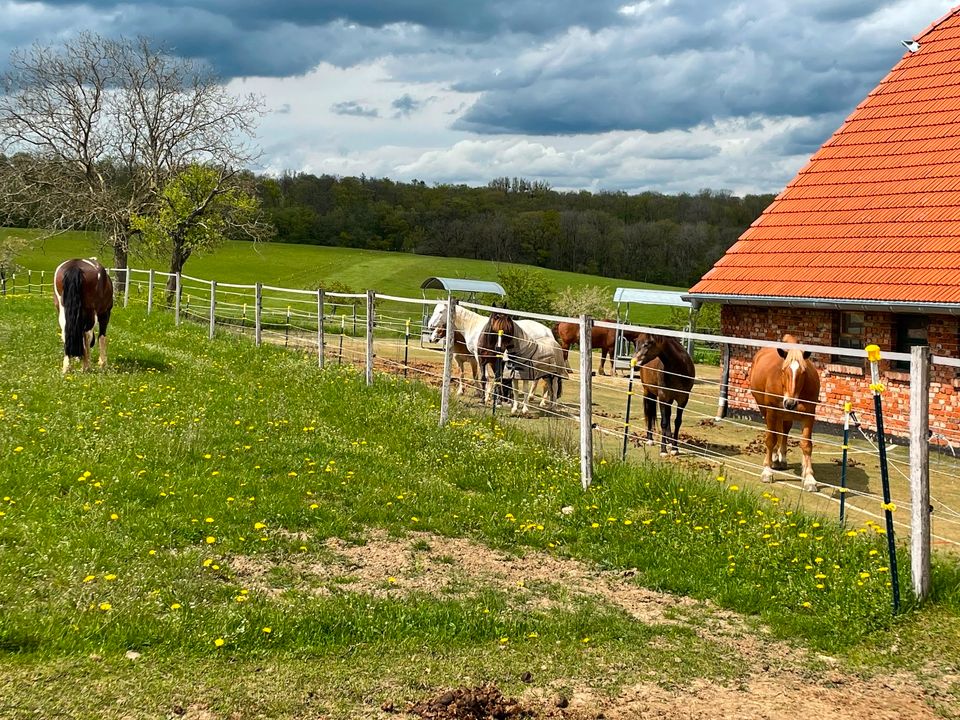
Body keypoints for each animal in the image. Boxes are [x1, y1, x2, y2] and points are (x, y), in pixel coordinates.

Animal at [748, 334, 820, 492]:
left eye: (803, 372)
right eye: (783, 370)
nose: (790, 403)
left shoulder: (809, 416)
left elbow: (806, 445)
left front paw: (809, 478)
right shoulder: (772, 412)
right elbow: (771, 439)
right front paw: (767, 471)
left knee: (784, 431)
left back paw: (781, 458)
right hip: (766, 411)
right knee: (775, 433)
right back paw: (774, 458)